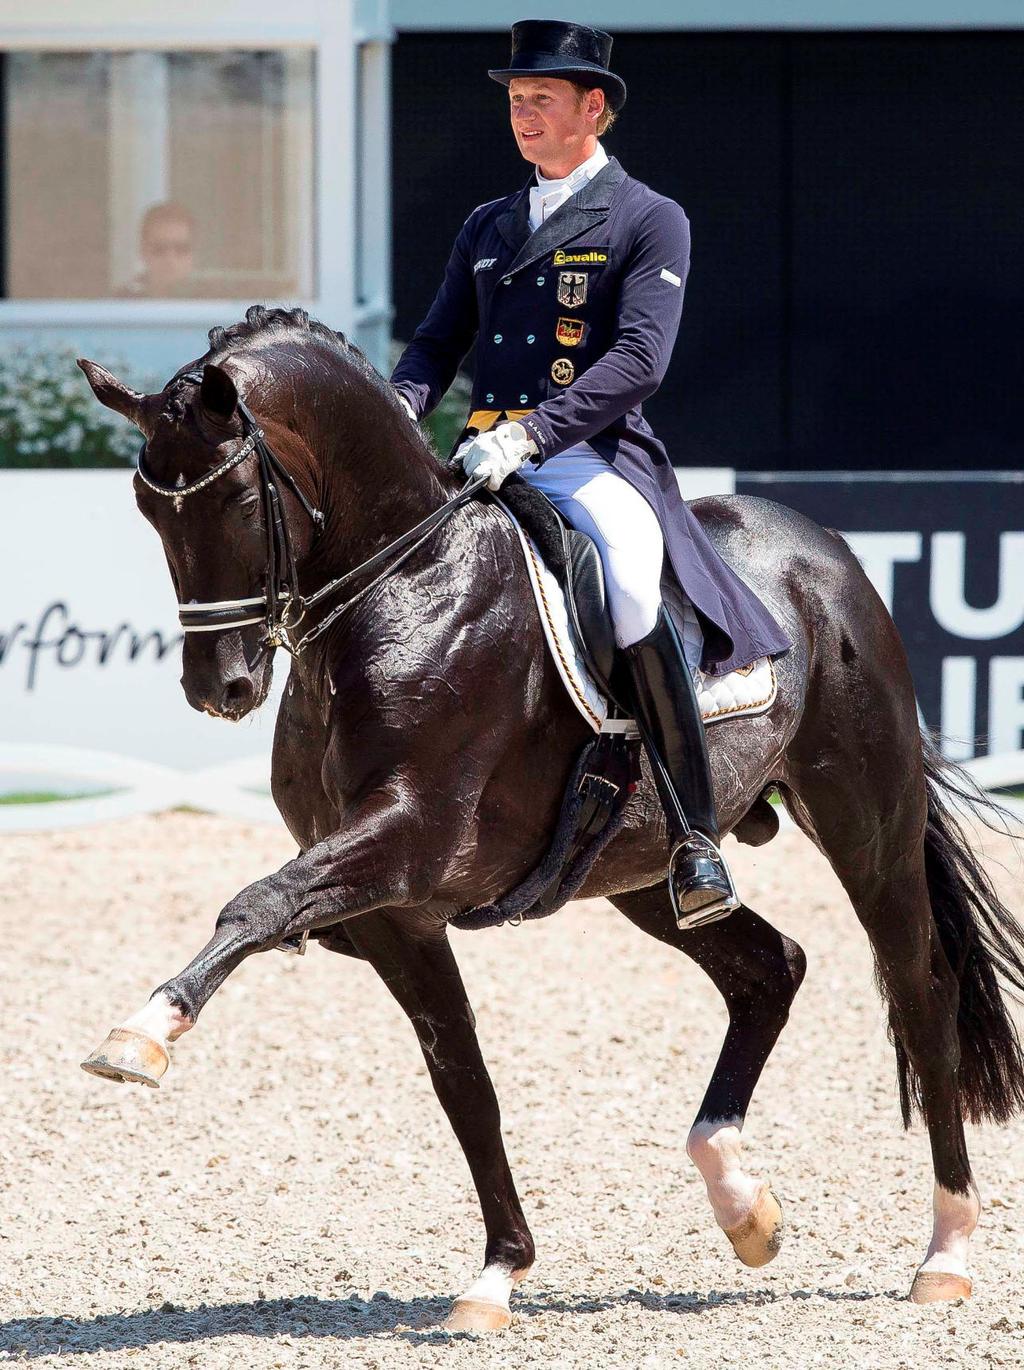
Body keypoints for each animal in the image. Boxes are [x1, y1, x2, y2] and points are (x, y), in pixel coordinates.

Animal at [78, 308, 1024, 1326]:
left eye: (238, 500)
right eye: (148, 509)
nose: (220, 690)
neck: (407, 588)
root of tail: (825, 547)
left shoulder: (408, 841)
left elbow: (256, 903)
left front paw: (143, 1032)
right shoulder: (395, 916)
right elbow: (464, 1080)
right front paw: (499, 1273)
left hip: (866, 826)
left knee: (920, 994)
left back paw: (946, 1253)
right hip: (643, 872)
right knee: (770, 968)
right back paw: (744, 1206)